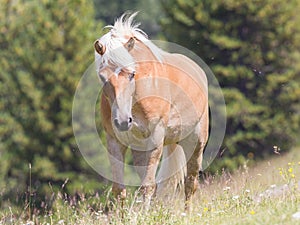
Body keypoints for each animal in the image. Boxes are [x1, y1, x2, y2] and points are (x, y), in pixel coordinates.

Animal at [94, 12, 209, 210]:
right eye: (102, 77)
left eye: (132, 74)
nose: (123, 121)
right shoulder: (114, 141)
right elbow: (119, 189)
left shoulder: (155, 139)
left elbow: (148, 185)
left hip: (195, 143)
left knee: (190, 183)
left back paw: (187, 212)